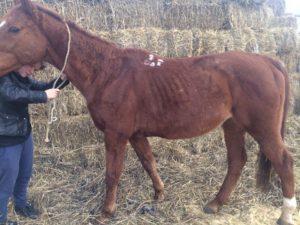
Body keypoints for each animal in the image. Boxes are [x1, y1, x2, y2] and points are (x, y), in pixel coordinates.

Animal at [0, 0, 296, 224]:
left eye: (15, 28)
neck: (108, 72)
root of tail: (269, 61)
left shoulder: (116, 134)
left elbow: (112, 173)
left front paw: (107, 211)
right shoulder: (136, 134)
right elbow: (149, 162)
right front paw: (159, 194)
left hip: (263, 129)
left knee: (283, 162)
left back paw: (285, 214)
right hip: (232, 125)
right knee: (237, 161)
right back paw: (215, 203)